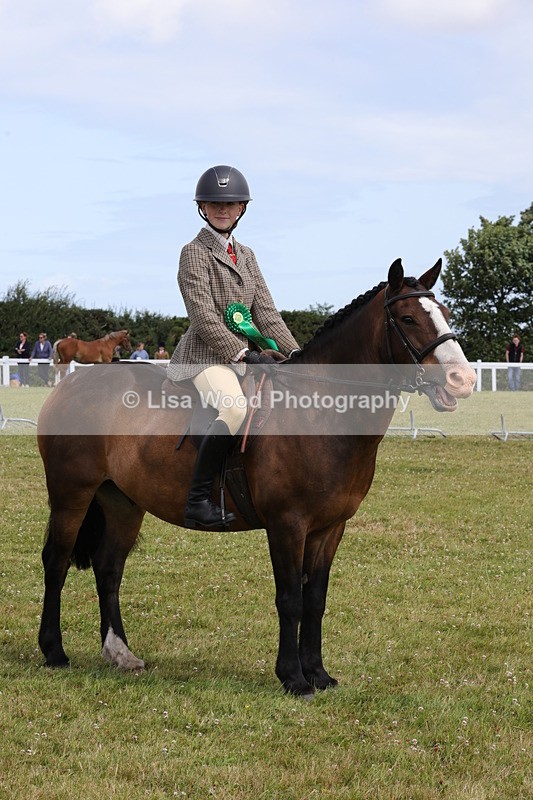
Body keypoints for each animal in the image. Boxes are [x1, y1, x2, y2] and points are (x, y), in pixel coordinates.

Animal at [37, 259, 476, 698]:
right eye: (408, 318)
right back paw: (54, 651)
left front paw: (318, 674)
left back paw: (120, 653)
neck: (319, 412)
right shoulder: (287, 524)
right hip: (71, 495)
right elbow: (291, 599)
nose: (464, 380)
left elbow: (315, 599)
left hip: (123, 502)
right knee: (56, 561)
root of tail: (74, 381)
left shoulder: (330, 528)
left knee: (109, 567)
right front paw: (293, 677)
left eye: (446, 314)